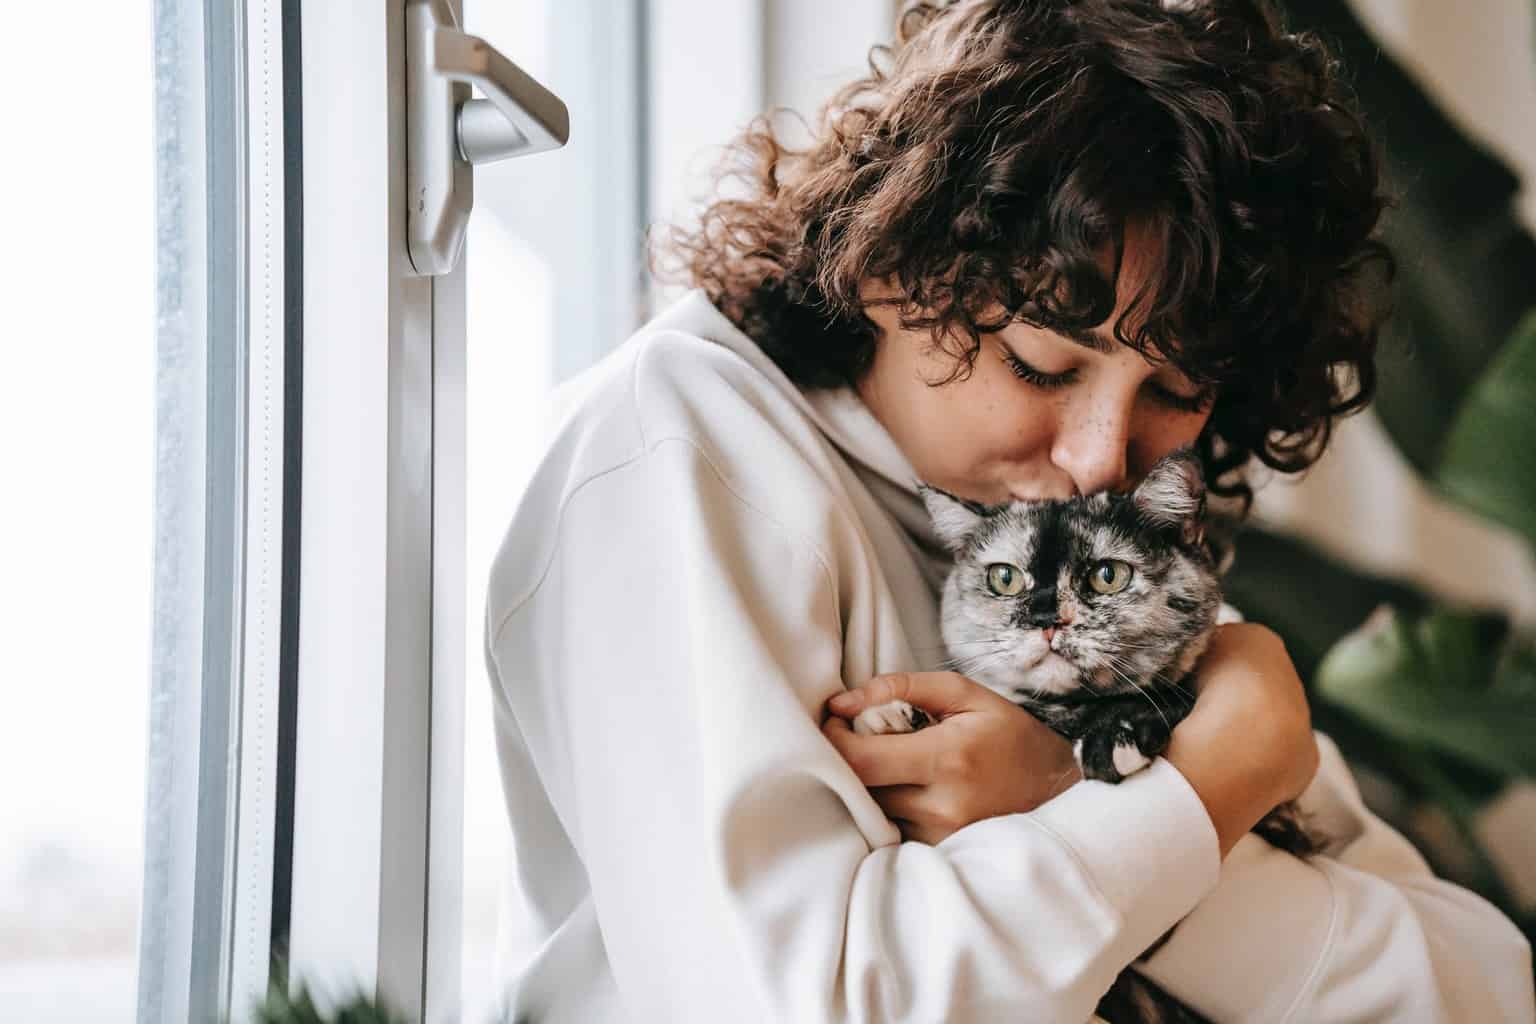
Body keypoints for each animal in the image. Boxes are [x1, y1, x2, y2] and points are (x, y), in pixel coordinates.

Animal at [854, 448, 1320, 1024]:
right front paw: (889, 716)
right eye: (1004, 578)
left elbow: (1159, 696)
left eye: (1107, 575)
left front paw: (1113, 738)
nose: (1045, 617)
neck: (1059, 712)